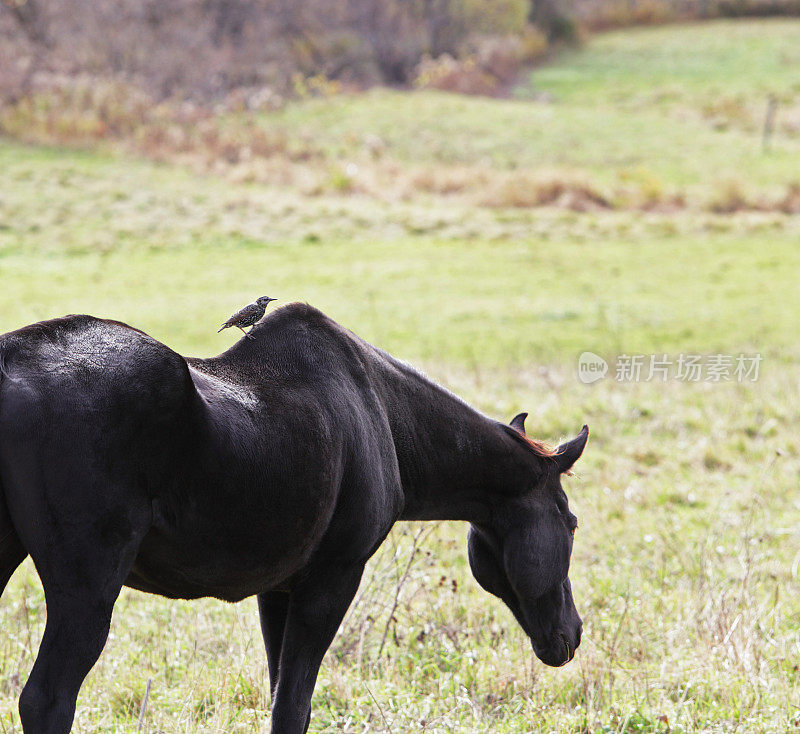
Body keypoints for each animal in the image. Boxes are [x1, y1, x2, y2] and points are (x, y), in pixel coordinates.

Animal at [0, 302, 588, 732]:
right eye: (572, 521)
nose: (572, 633)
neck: (388, 418)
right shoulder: (331, 577)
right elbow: (293, 707)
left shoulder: (277, 590)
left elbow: (280, 696)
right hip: (87, 589)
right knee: (47, 701)